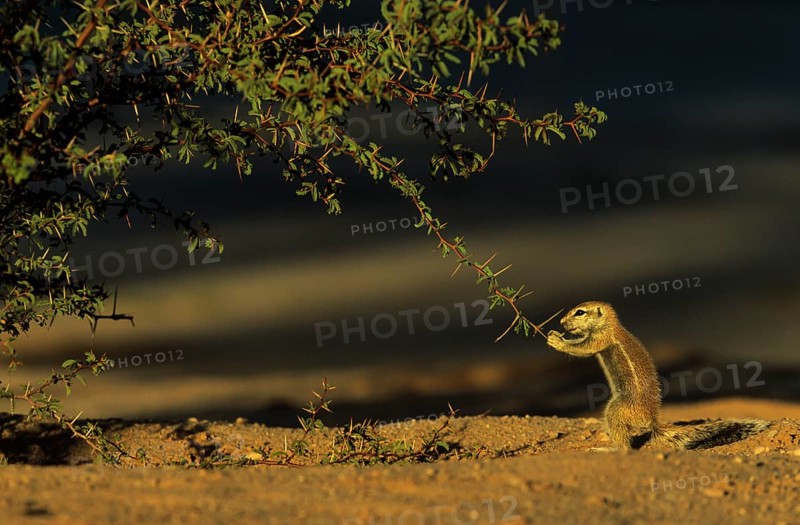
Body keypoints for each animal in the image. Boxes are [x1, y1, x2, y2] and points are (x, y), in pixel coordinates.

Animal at [546, 301, 769, 450]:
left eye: (580, 312)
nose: (561, 322)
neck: (610, 324)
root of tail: (651, 422)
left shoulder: (601, 338)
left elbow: (583, 348)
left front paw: (556, 340)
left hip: (616, 409)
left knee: (625, 446)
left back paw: (607, 449)